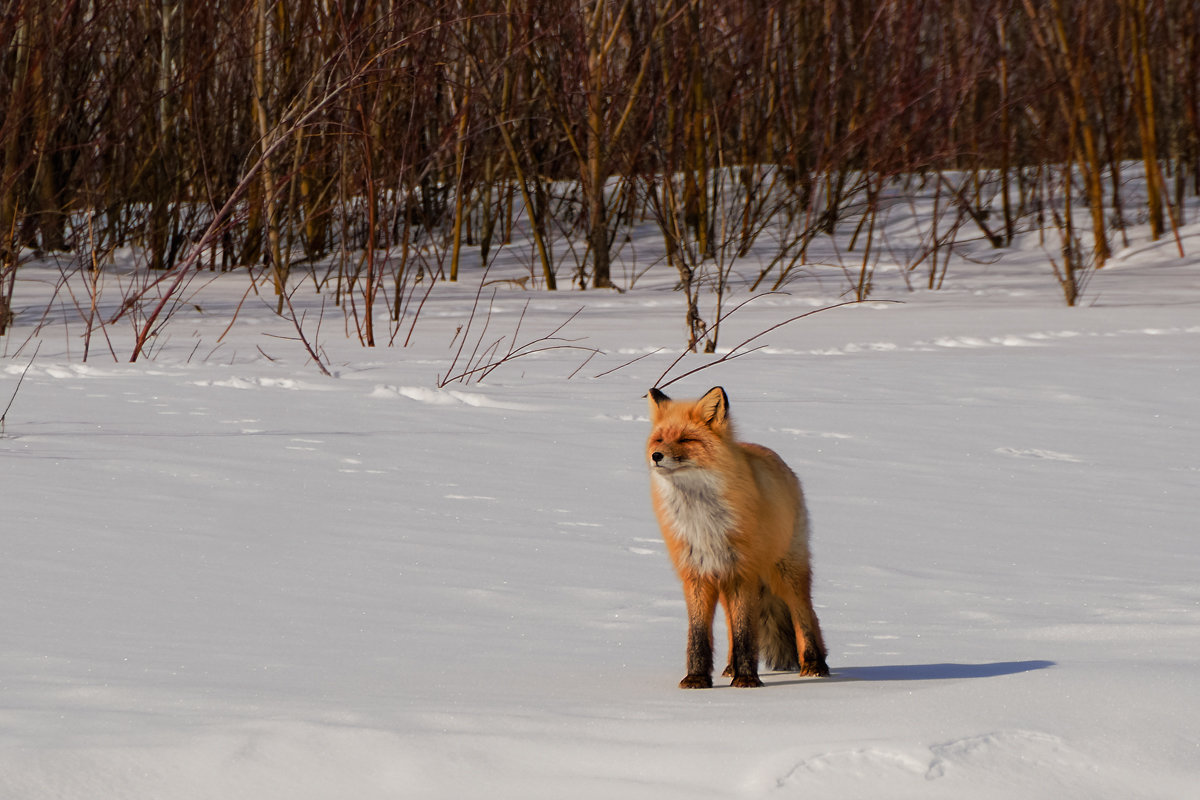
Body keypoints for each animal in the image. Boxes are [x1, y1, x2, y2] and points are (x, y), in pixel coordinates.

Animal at [648, 388, 825, 690]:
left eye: (686, 439)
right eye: (659, 439)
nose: (656, 455)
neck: (702, 520)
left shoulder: (743, 572)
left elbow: (746, 633)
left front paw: (747, 680)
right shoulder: (697, 574)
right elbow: (699, 635)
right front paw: (696, 678)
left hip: (785, 571)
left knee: (805, 614)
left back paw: (815, 664)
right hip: (728, 582)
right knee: (733, 625)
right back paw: (730, 666)